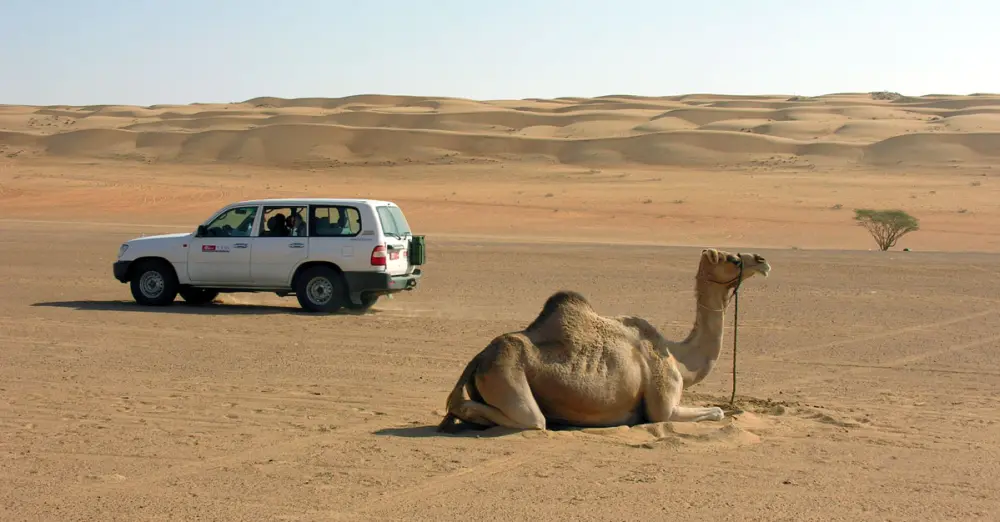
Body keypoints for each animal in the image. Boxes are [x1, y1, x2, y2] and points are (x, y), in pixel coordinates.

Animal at [437, 248, 771, 432]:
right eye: (732, 259)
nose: (762, 260)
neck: (679, 358)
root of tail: (478, 359)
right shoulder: (663, 408)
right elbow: (715, 412)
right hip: (508, 377)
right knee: (530, 419)